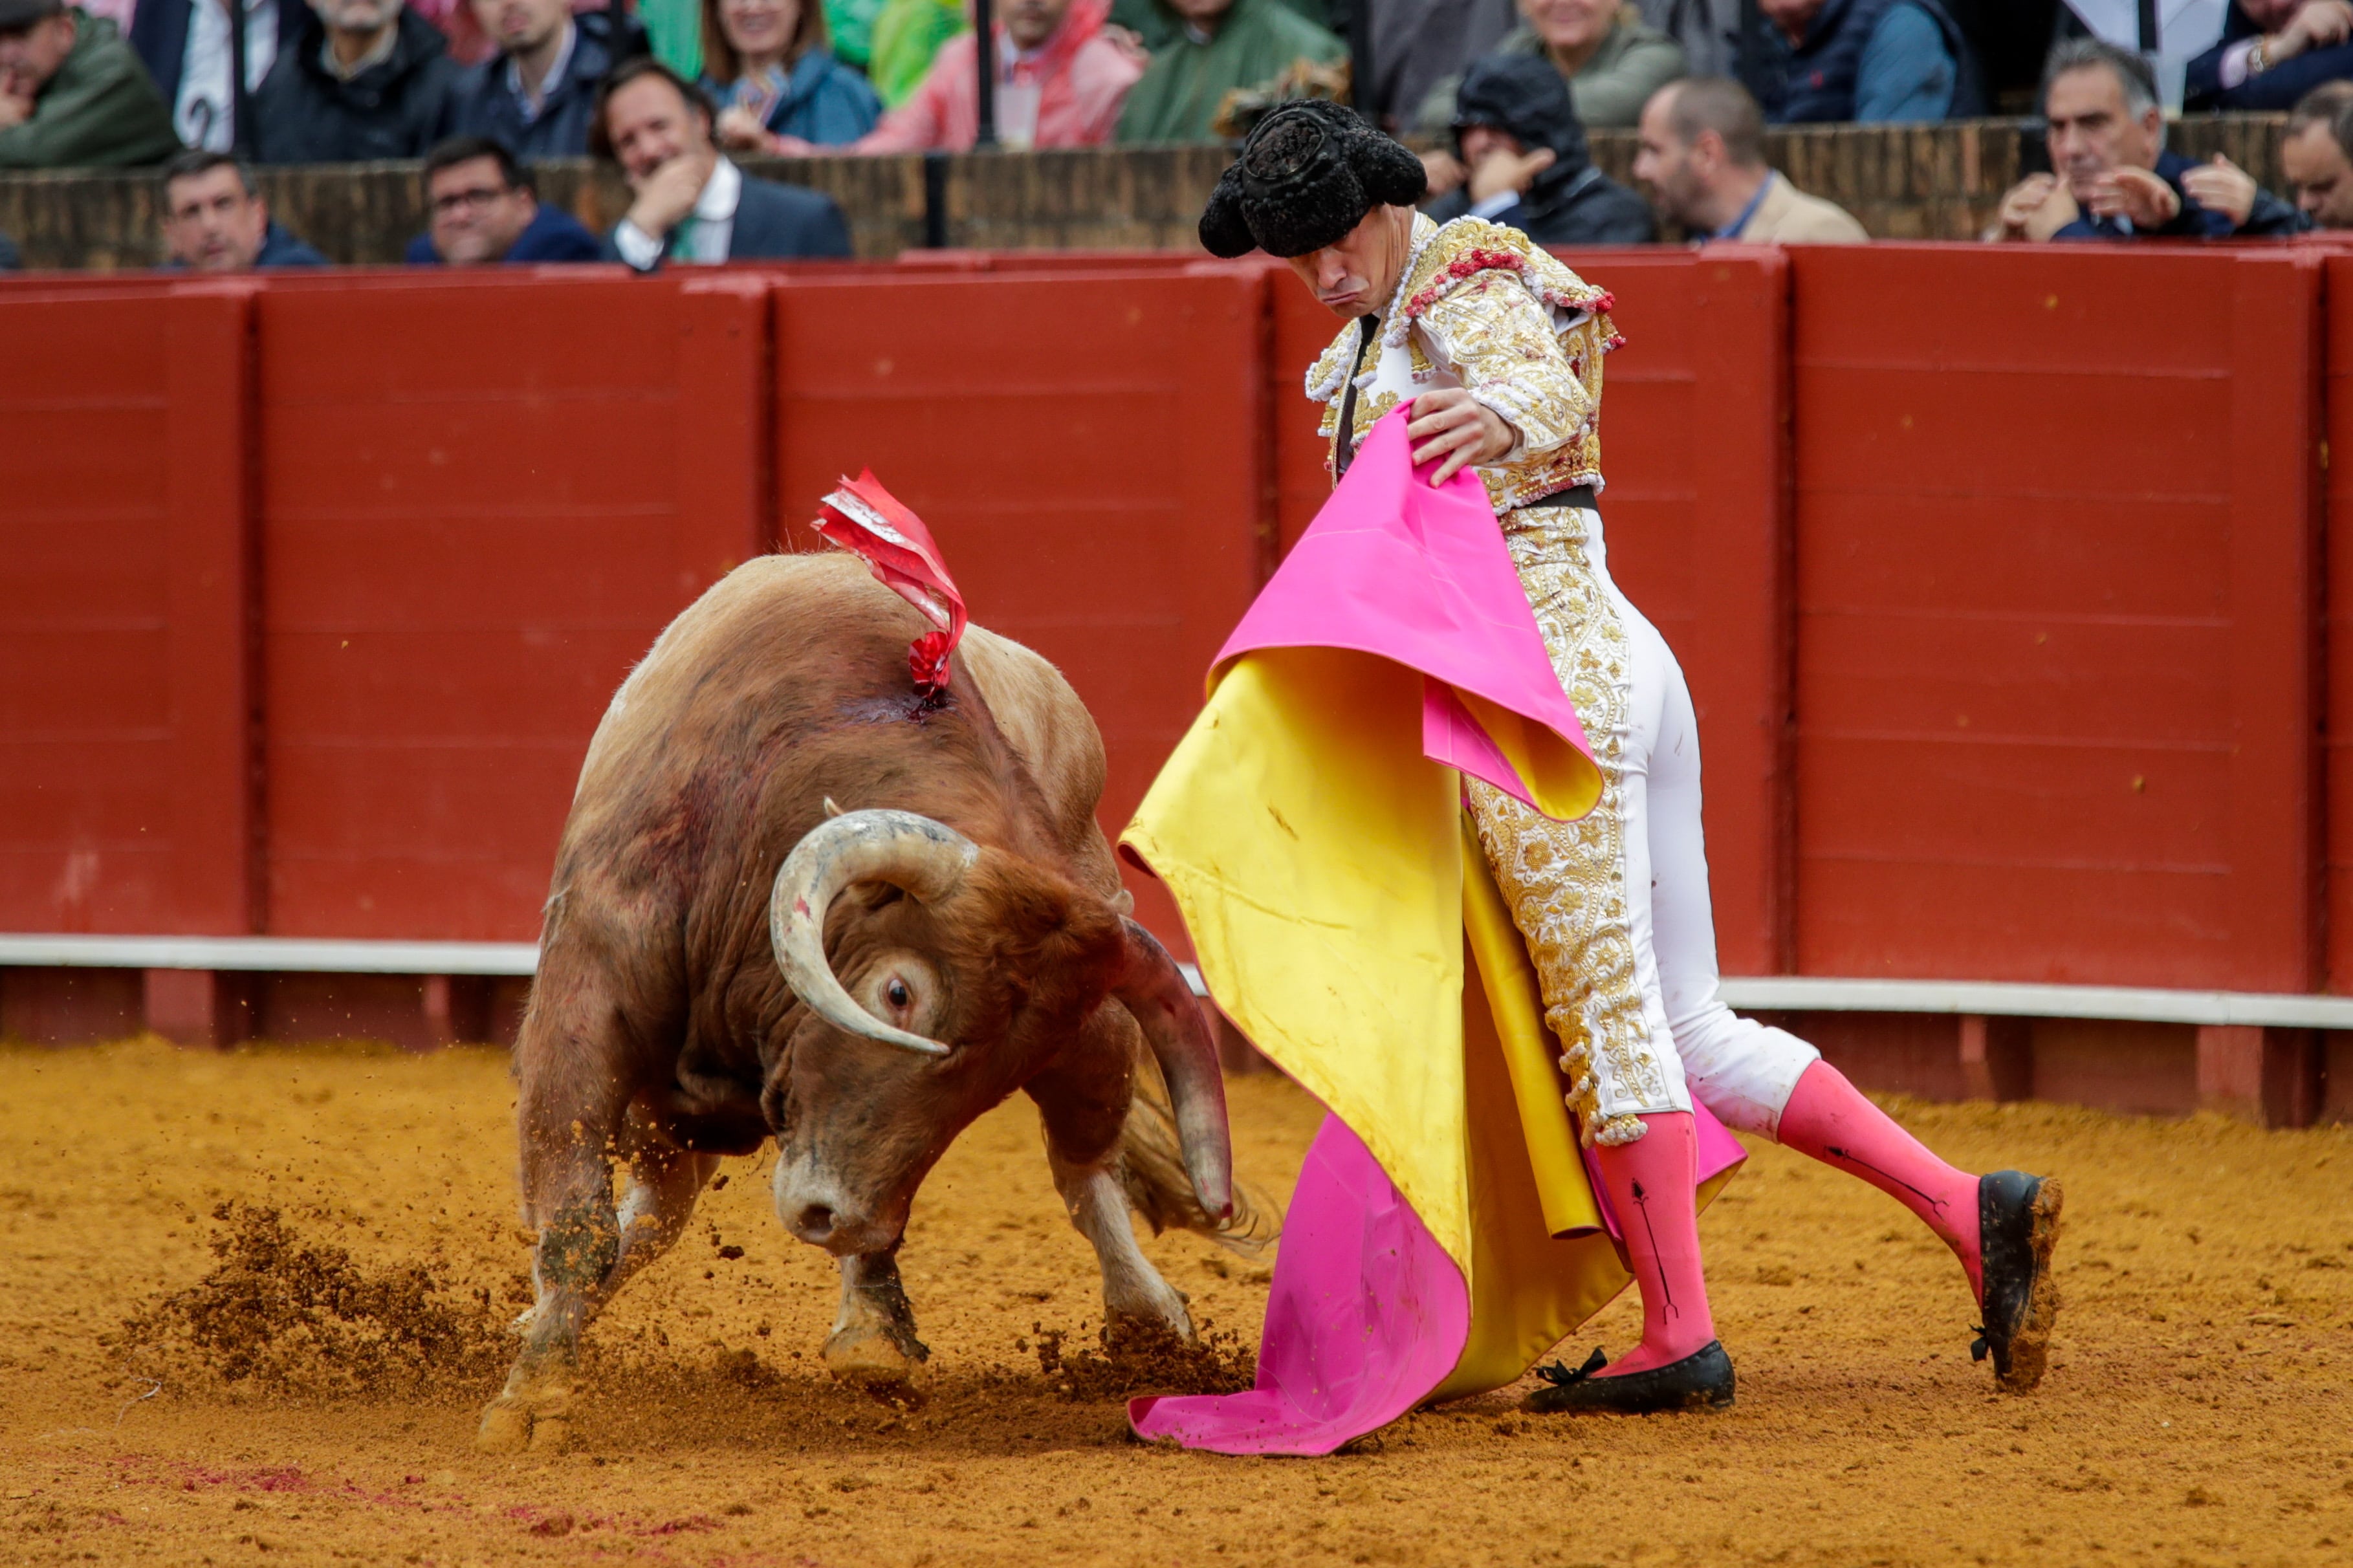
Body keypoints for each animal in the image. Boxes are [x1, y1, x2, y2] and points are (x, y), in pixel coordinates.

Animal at [466, 553, 1261, 1450]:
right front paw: (531, 1400)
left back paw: (1134, 1319)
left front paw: (877, 1326)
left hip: (1106, 1023)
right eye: (897, 991)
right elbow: (579, 1222)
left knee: (1082, 1170)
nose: (832, 1217)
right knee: (651, 1220)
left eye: (1003, 1075)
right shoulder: (585, 1000)